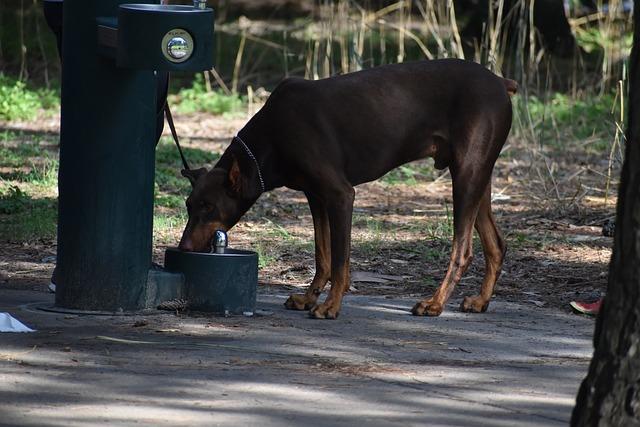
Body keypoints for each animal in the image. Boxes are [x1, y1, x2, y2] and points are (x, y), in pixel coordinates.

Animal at [179, 60, 516, 320]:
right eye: (189, 205)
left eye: (208, 207)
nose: (183, 248)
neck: (271, 138)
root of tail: (500, 81)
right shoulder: (316, 196)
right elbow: (322, 255)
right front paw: (308, 298)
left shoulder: (340, 195)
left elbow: (340, 260)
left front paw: (330, 306)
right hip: (477, 177)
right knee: (496, 245)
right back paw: (480, 301)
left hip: (467, 173)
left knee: (463, 249)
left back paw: (435, 303)